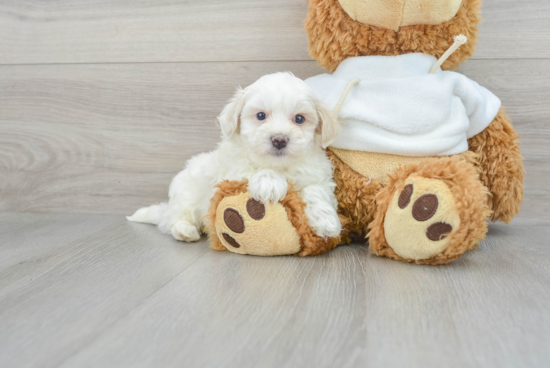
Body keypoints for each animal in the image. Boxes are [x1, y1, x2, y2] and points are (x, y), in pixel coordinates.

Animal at [130, 73, 344, 243]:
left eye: (299, 119)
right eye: (260, 115)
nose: (279, 139)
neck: (278, 166)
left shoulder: (318, 176)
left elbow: (316, 190)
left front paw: (326, 221)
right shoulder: (232, 173)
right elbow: (254, 171)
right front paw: (270, 182)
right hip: (185, 194)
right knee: (175, 219)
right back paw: (185, 231)